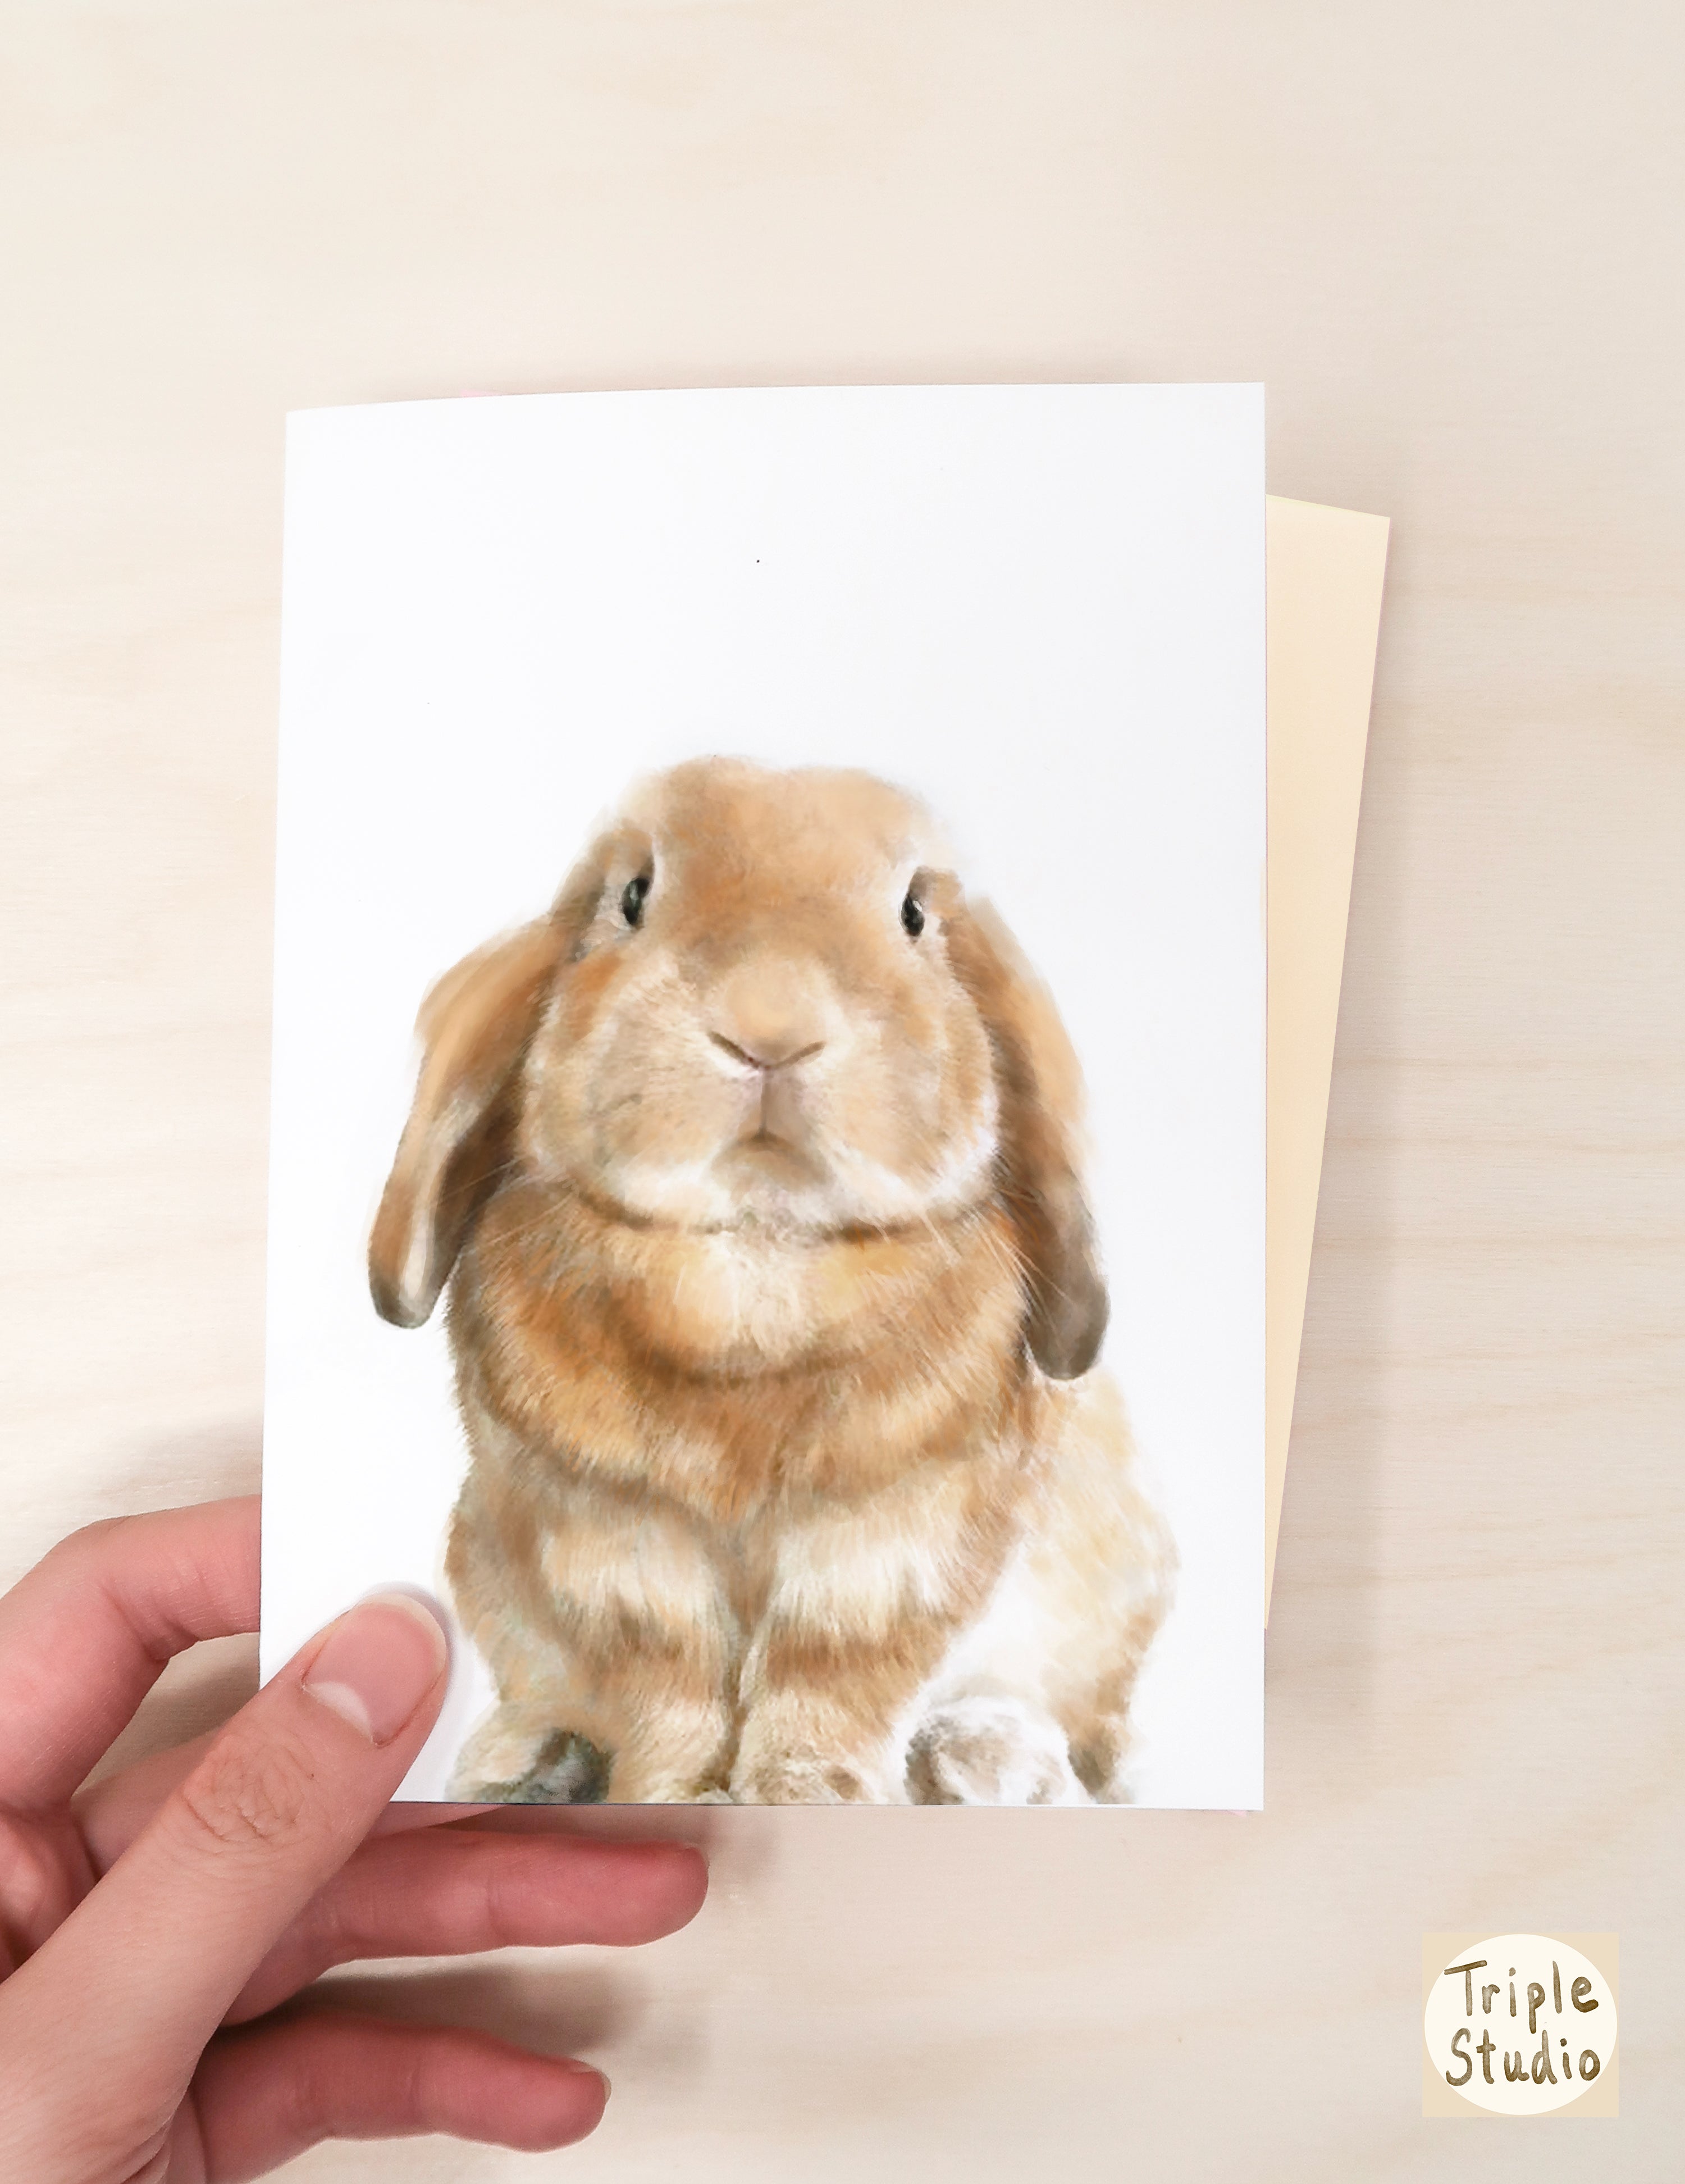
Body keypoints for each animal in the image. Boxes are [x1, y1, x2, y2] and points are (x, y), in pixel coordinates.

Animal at [369, 757, 1174, 1804]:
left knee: (1076, 1728)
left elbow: (829, 1676)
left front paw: (810, 1793)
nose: (770, 1027)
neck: (757, 1254)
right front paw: (670, 1793)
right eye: (633, 897)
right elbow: (668, 1681)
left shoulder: (892, 1540)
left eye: (914, 913)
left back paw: (986, 1759)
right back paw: (525, 1761)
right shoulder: (614, 1541)